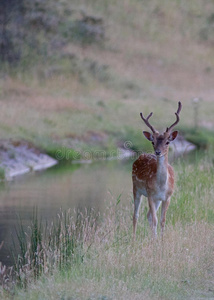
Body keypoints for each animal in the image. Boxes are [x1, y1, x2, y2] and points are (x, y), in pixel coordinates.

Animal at [133, 102, 181, 238]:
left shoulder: (167, 197)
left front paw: (161, 240)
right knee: (136, 215)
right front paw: (156, 240)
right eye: (152, 142)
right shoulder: (150, 195)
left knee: (148, 215)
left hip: (157, 199)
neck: (161, 186)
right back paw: (133, 239)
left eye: (167, 142)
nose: (158, 152)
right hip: (136, 189)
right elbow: (155, 220)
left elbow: (162, 220)